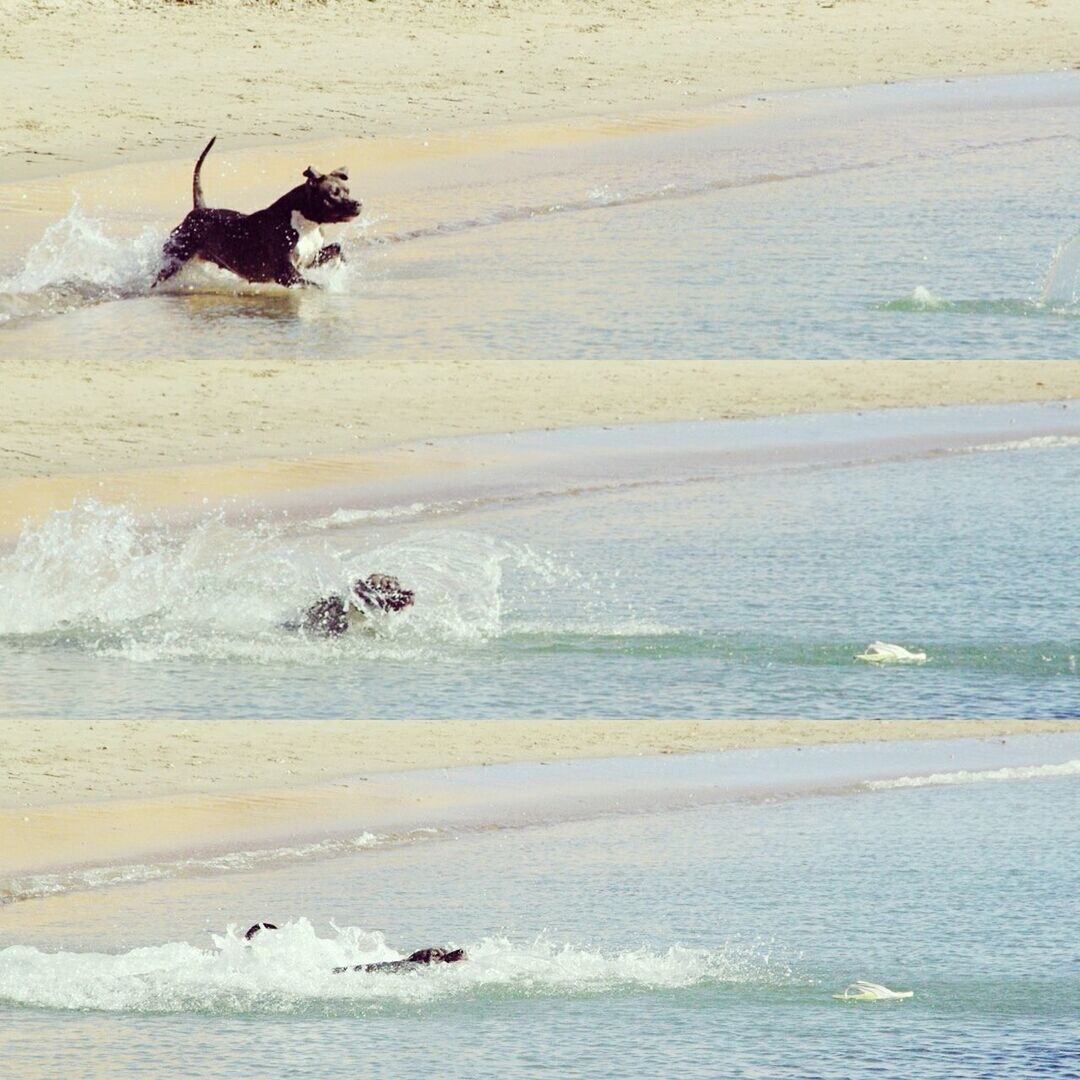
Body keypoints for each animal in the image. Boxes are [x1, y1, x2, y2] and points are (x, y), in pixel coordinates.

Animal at [156, 137, 360, 289]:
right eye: (333, 194)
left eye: (347, 190)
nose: (358, 204)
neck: (306, 223)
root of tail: (198, 210)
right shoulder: (286, 273)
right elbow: (314, 285)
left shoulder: (311, 259)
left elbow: (337, 249)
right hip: (175, 258)